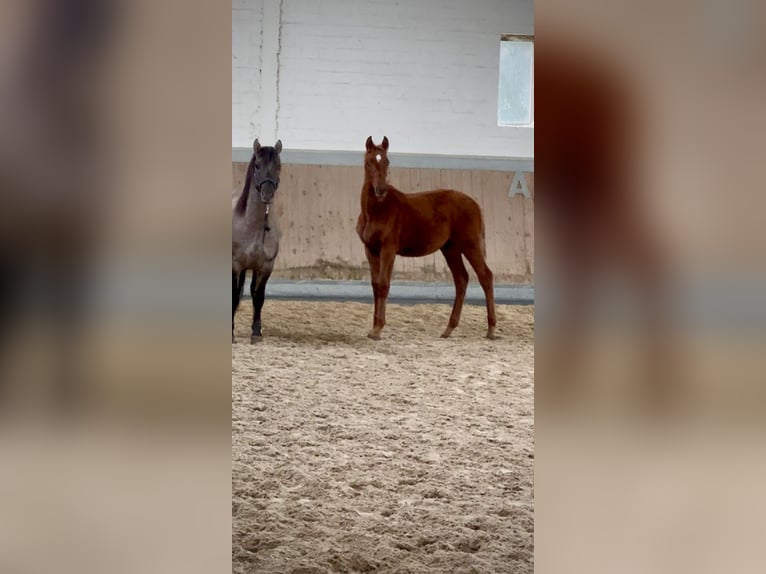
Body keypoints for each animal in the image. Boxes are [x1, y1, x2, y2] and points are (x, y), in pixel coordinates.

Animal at [356, 136, 496, 340]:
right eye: (369, 162)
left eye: (387, 161)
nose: (381, 190)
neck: (377, 211)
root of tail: (475, 204)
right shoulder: (371, 250)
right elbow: (375, 286)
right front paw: (374, 327)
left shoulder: (388, 250)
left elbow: (383, 285)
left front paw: (378, 329)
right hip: (451, 248)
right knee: (461, 279)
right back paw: (448, 329)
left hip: (471, 245)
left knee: (485, 276)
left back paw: (491, 329)